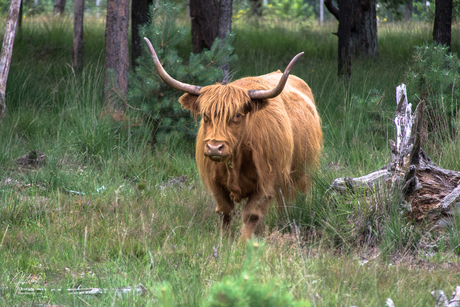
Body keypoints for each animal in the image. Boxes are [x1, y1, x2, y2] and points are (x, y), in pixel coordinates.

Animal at [145, 38, 324, 239]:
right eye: (205, 115)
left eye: (238, 115)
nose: (215, 147)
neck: (237, 160)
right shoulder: (215, 183)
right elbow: (225, 211)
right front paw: (224, 241)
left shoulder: (267, 183)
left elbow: (251, 215)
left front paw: (243, 243)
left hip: (302, 171)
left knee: (294, 198)